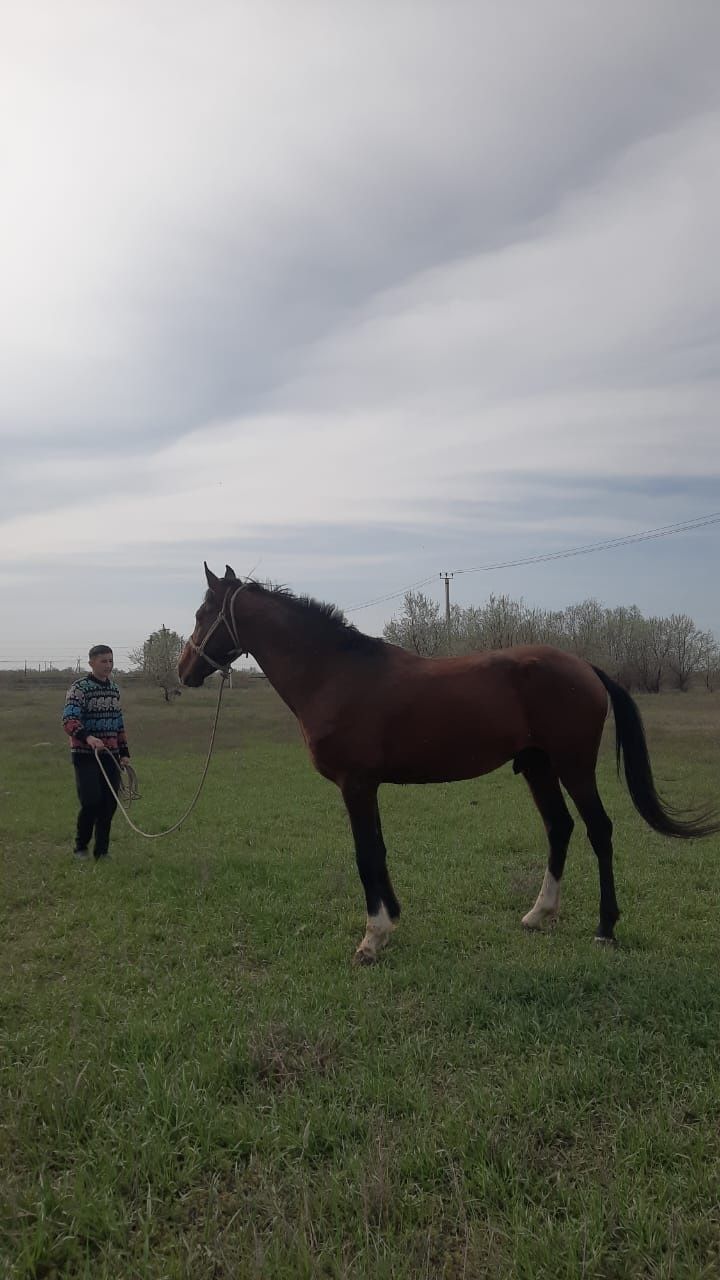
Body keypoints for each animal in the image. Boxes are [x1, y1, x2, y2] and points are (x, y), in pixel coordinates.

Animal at [178, 565, 717, 962]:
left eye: (205, 612)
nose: (184, 671)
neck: (336, 674)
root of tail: (583, 666)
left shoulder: (355, 785)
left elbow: (365, 854)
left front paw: (372, 938)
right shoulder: (368, 787)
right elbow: (379, 850)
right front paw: (392, 918)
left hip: (574, 766)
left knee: (599, 830)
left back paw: (605, 927)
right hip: (539, 767)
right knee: (559, 828)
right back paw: (538, 914)